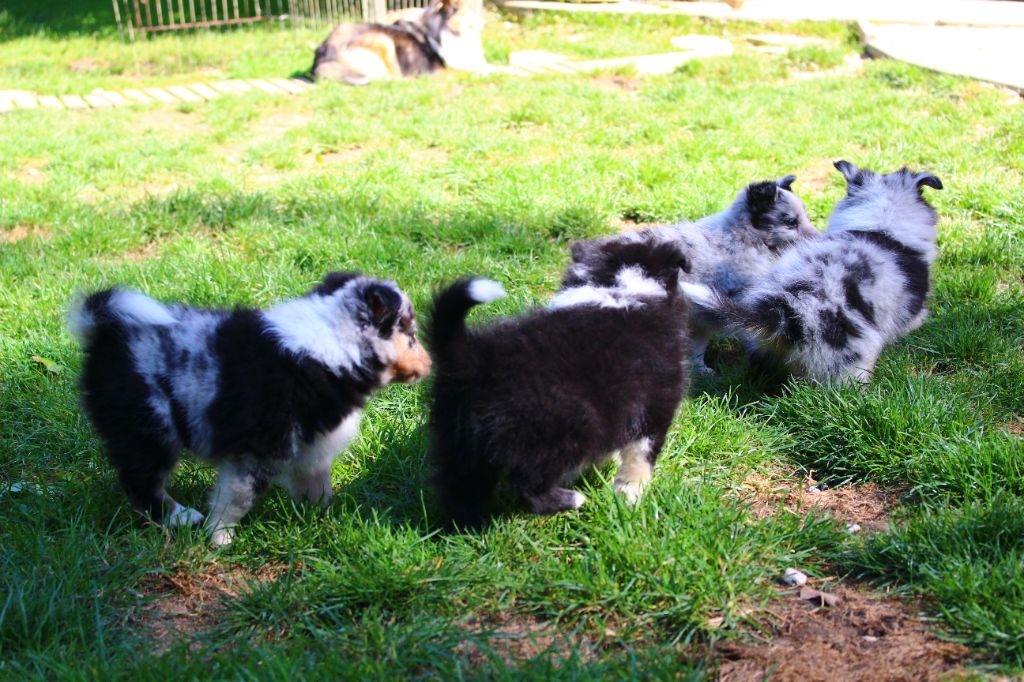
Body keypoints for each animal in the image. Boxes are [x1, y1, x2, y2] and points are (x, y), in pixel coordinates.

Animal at [67, 274, 428, 544]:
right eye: (411, 335)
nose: (430, 363)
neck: (334, 345)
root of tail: (104, 332)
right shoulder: (259, 449)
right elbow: (237, 496)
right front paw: (219, 537)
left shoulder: (311, 443)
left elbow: (315, 481)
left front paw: (320, 517)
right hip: (150, 426)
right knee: (141, 482)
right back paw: (180, 517)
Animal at [311, 0, 487, 84]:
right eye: (466, 13)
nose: (483, 23)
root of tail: (322, 53)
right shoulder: (443, 70)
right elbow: (477, 70)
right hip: (384, 40)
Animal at [569, 175, 815, 372]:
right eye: (790, 222)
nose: (816, 238)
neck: (744, 237)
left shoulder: (702, 317)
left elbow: (699, 346)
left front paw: (701, 370)